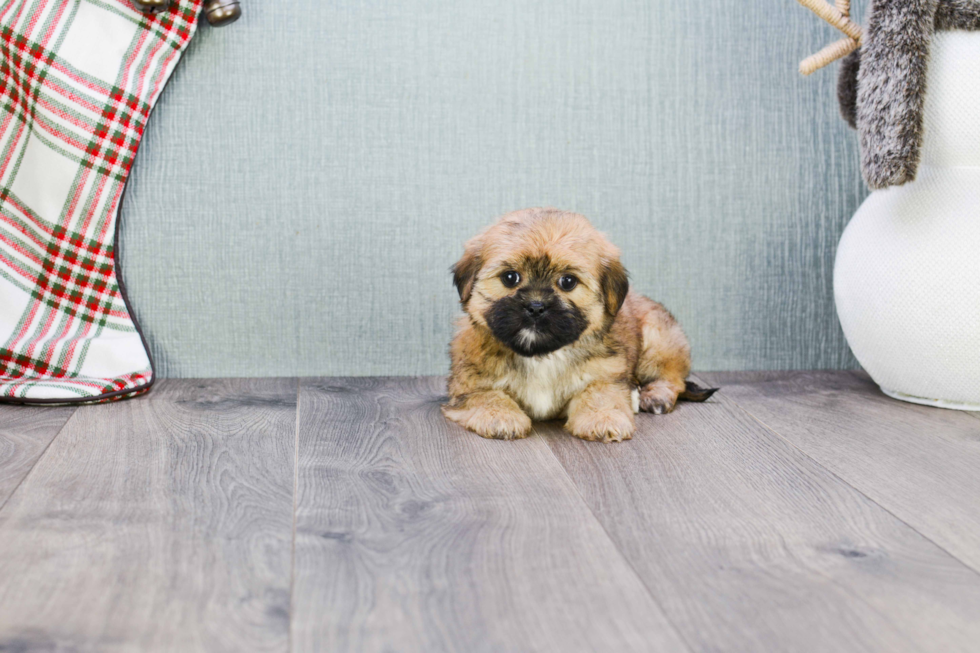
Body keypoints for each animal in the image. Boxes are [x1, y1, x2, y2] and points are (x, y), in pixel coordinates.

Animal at [442, 209, 712, 444]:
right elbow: (487, 395)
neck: (542, 356)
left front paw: (602, 419)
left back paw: (655, 395)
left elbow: (599, 394)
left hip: (658, 341)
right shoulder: (469, 385)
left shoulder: (605, 374)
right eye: (510, 277)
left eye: (568, 281)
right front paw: (500, 416)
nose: (536, 306)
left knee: (672, 377)